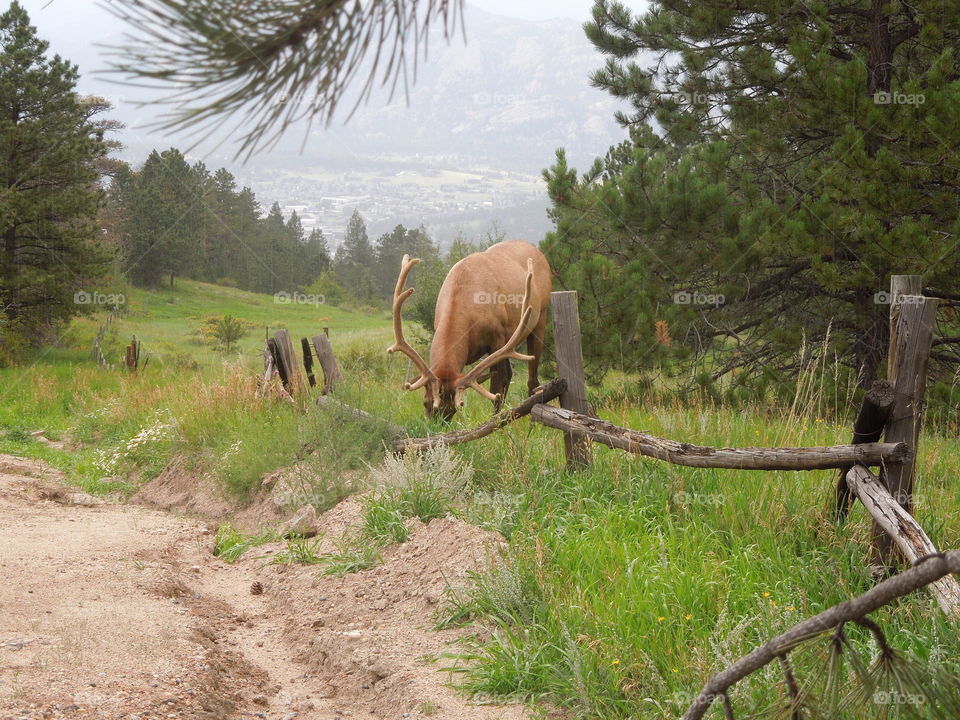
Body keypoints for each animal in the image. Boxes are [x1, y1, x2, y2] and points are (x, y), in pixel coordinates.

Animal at [387, 239, 552, 420]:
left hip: (540, 318)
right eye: (426, 403)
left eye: (455, 408)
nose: (437, 424)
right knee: (511, 374)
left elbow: (495, 389)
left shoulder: (498, 336)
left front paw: (494, 422)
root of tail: (539, 252)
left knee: (532, 379)